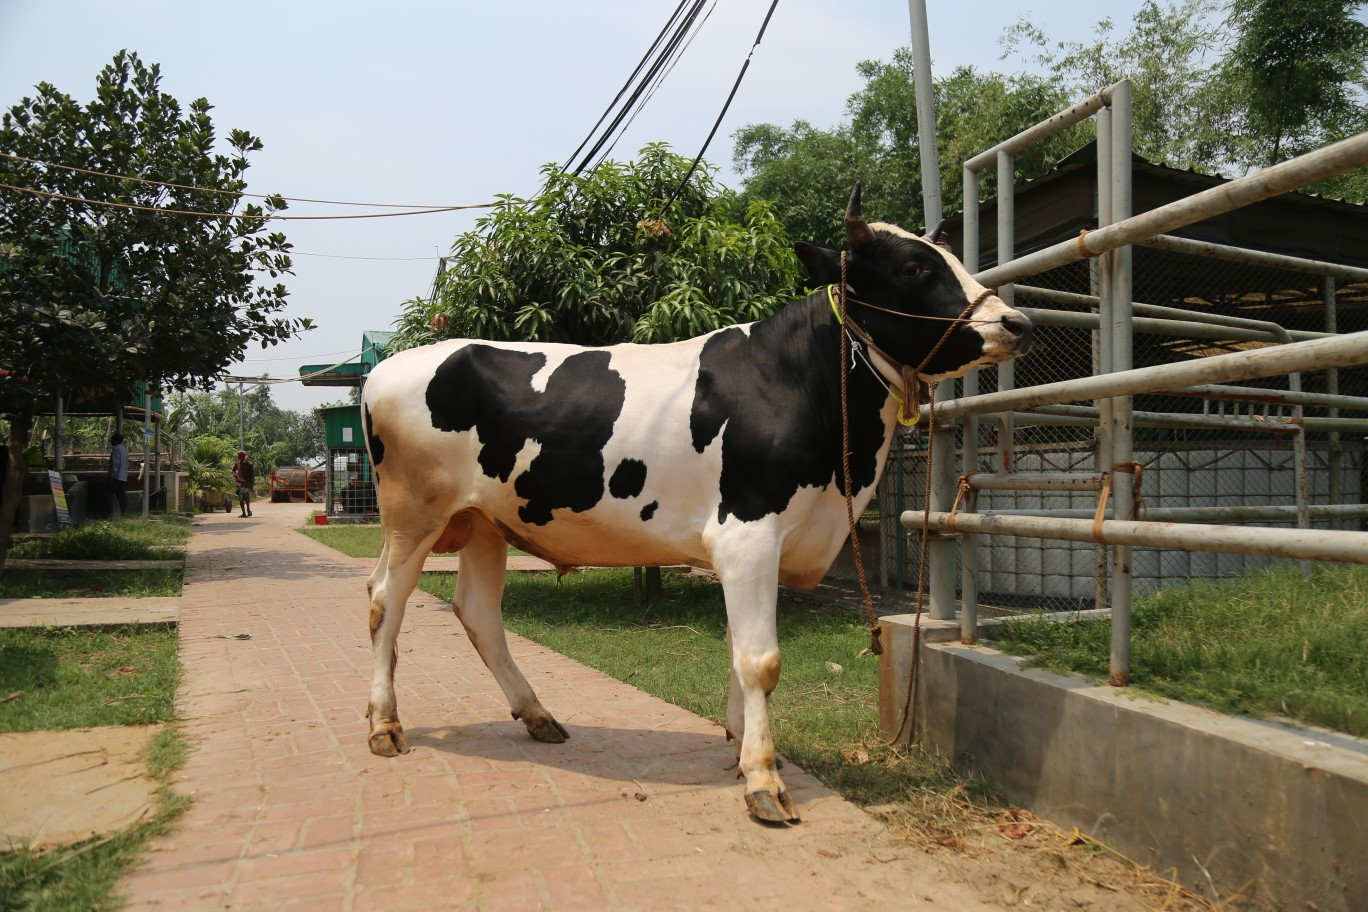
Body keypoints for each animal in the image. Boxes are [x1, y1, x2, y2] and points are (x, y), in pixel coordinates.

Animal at [359, 186, 1033, 823]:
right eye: (915, 268)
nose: (1017, 322)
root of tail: (391, 365)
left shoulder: (764, 543)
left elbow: (738, 650)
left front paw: (739, 744)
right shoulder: (748, 531)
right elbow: (761, 660)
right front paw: (763, 780)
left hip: (483, 523)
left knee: (476, 612)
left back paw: (537, 715)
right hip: (414, 515)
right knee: (385, 600)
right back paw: (385, 724)